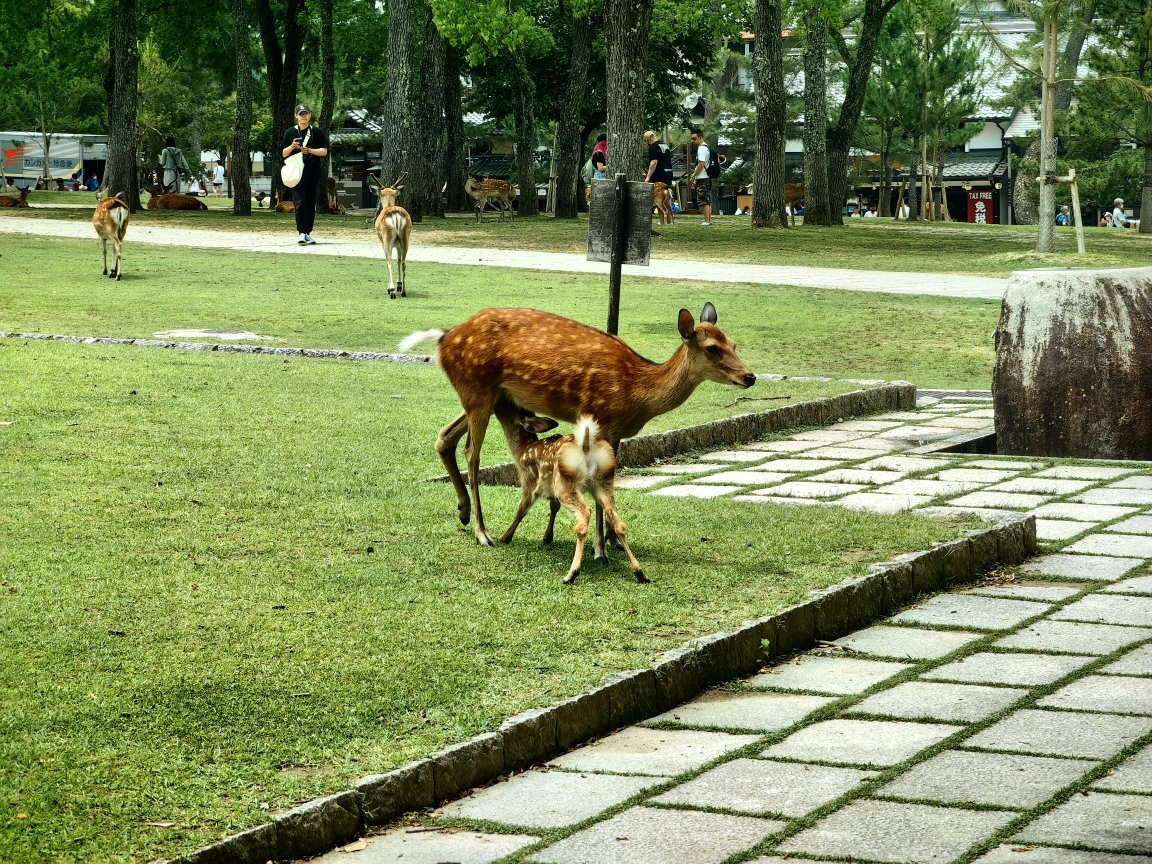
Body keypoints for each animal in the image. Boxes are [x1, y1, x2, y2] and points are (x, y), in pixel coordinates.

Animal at [370, 172, 412, 301]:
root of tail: (396, 215)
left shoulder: (382, 242)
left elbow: (388, 260)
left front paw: (390, 288)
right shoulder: (397, 245)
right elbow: (398, 259)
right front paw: (399, 284)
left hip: (387, 238)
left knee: (389, 261)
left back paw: (392, 291)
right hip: (405, 237)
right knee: (403, 262)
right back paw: (403, 291)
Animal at [398, 304, 755, 562]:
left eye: (734, 344)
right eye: (712, 348)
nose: (750, 376)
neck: (636, 393)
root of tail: (444, 339)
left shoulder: (616, 432)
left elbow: (609, 483)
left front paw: (612, 541)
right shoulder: (599, 419)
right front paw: (600, 550)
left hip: (493, 396)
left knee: (445, 436)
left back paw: (463, 512)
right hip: (477, 389)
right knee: (472, 452)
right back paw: (483, 533)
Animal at [502, 410, 654, 585]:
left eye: (509, 415)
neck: (523, 449)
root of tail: (586, 443)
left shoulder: (529, 482)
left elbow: (522, 509)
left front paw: (505, 537)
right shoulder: (551, 490)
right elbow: (553, 507)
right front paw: (547, 537)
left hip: (566, 482)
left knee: (585, 513)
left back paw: (571, 573)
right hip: (603, 480)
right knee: (617, 519)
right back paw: (640, 572)